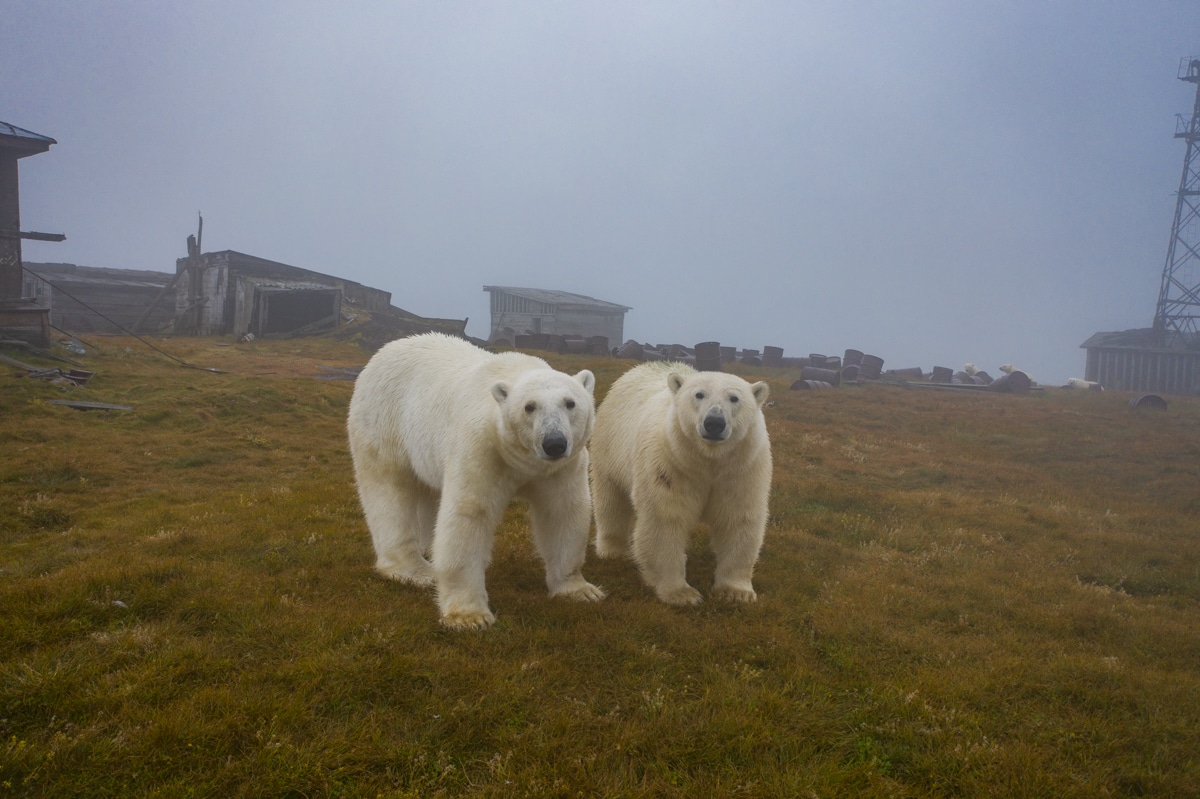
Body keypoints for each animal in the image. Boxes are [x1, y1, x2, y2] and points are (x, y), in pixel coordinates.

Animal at [348, 331, 609, 628]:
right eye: (529, 407)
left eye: (570, 402)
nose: (554, 443)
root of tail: (385, 350)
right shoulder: (482, 449)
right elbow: (469, 514)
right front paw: (469, 616)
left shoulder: (561, 467)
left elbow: (563, 513)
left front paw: (579, 591)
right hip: (383, 421)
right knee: (389, 489)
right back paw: (414, 570)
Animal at [592, 359, 777, 604]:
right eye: (699, 394)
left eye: (734, 398)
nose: (714, 422)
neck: (708, 459)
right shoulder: (670, 463)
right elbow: (665, 519)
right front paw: (682, 593)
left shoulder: (741, 469)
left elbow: (737, 518)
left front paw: (737, 592)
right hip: (609, 445)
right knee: (611, 500)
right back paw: (613, 550)